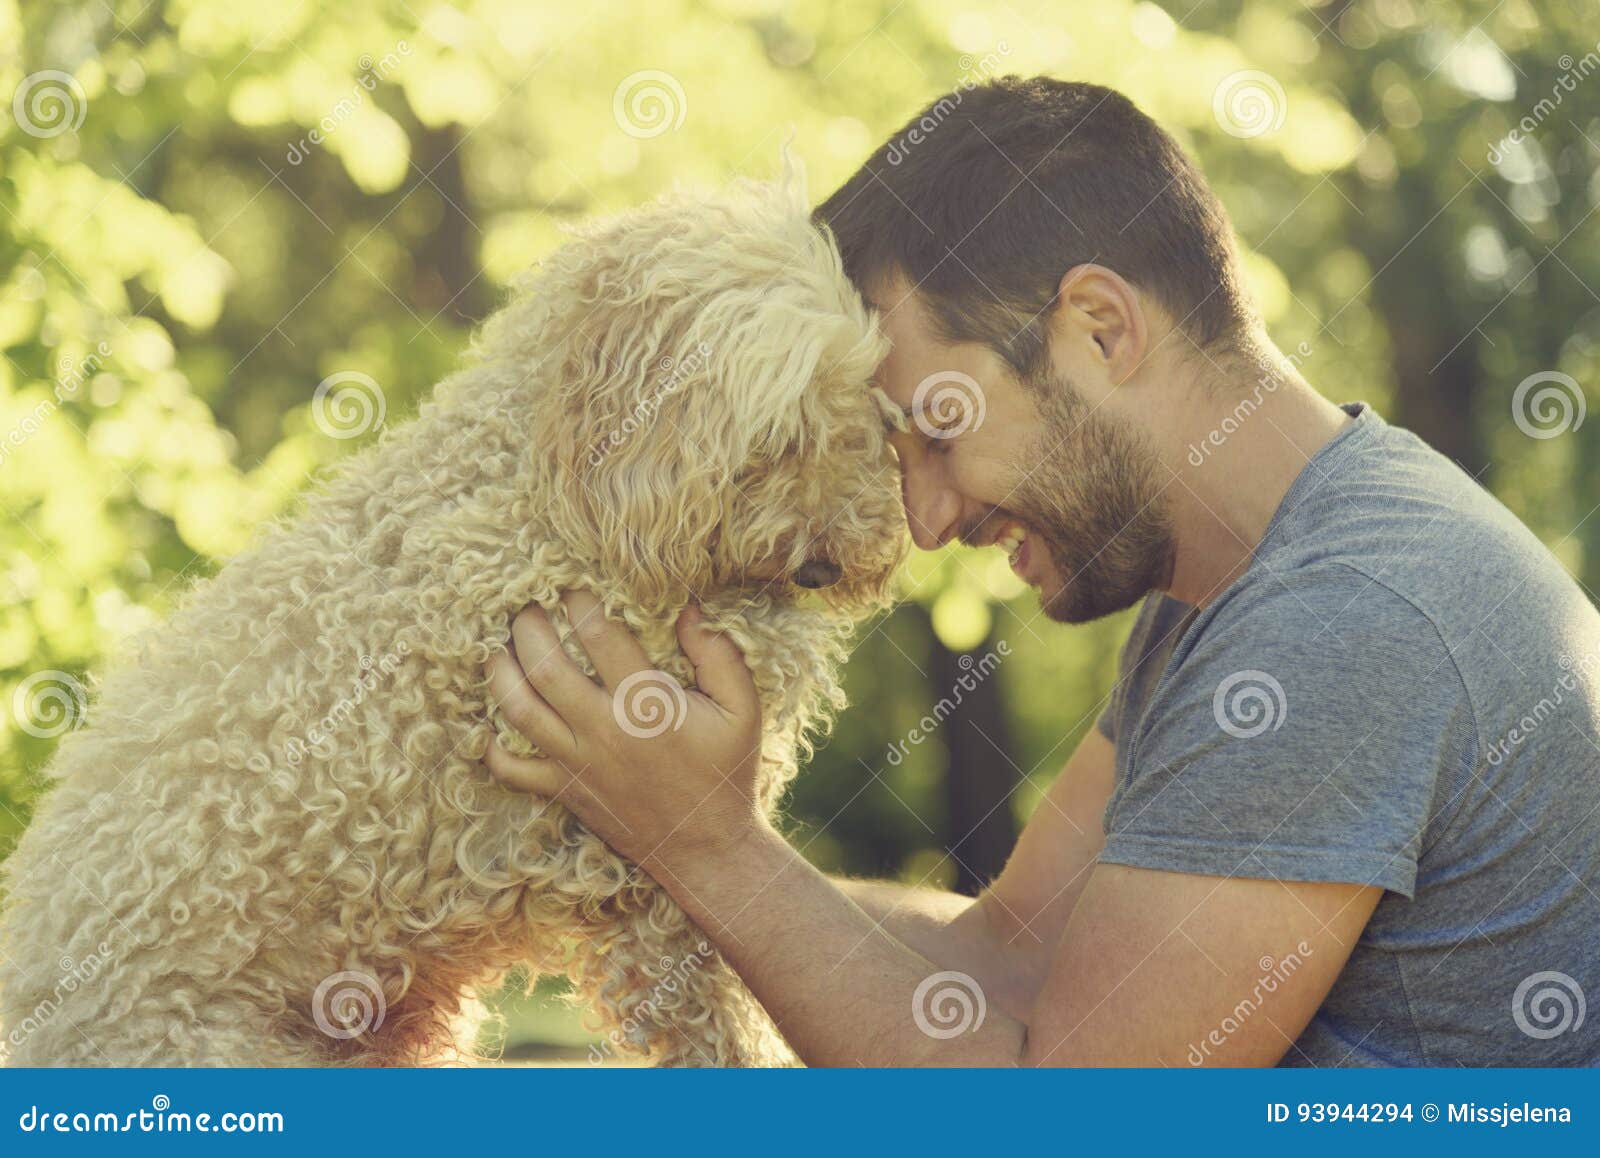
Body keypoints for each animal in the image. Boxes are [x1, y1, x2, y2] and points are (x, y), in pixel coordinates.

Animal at [0, 163, 902, 1068]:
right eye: (781, 433)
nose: (828, 565)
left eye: (863, 405)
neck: (543, 489)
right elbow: (712, 1023)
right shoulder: (648, 860)